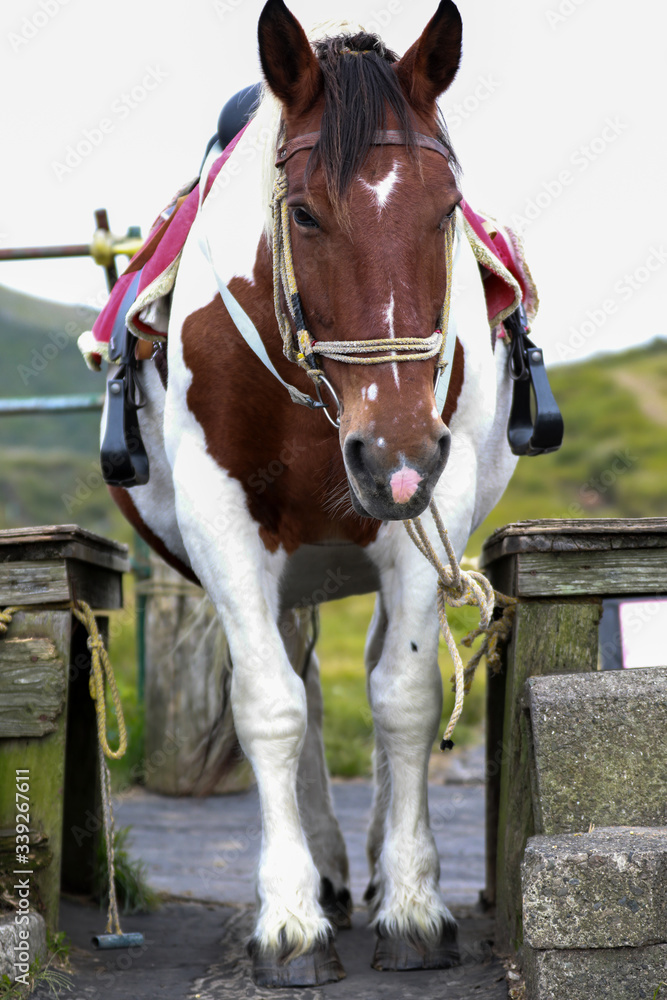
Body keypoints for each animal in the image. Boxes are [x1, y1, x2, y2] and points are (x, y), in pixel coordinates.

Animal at [102, 0, 527, 986]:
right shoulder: (223, 523)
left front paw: (412, 904)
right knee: (295, 682)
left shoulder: (431, 505)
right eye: (302, 211)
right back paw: (327, 874)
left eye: (445, 210)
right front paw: (290, 919)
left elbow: (402, 699)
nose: (396, 449)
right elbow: (270, 709)